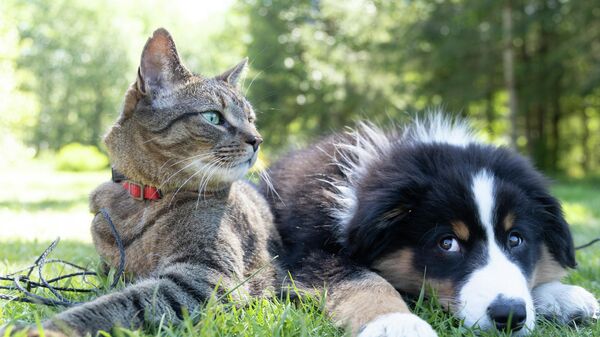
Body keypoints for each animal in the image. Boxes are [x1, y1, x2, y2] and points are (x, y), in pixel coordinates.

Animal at [1, 28, 282, 336]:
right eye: (213, 117)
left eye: (251, 119)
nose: (257, 140)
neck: (142, 199)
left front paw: (50, 328)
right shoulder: (110, 269)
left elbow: (119, 303)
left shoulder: (206, 276)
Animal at [264, 113, 600, 336]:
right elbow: (362, 279)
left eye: (515, 239)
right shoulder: (307, 253)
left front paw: (562, 296)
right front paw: (396, 323)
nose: (509, 315)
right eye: (447, 243)